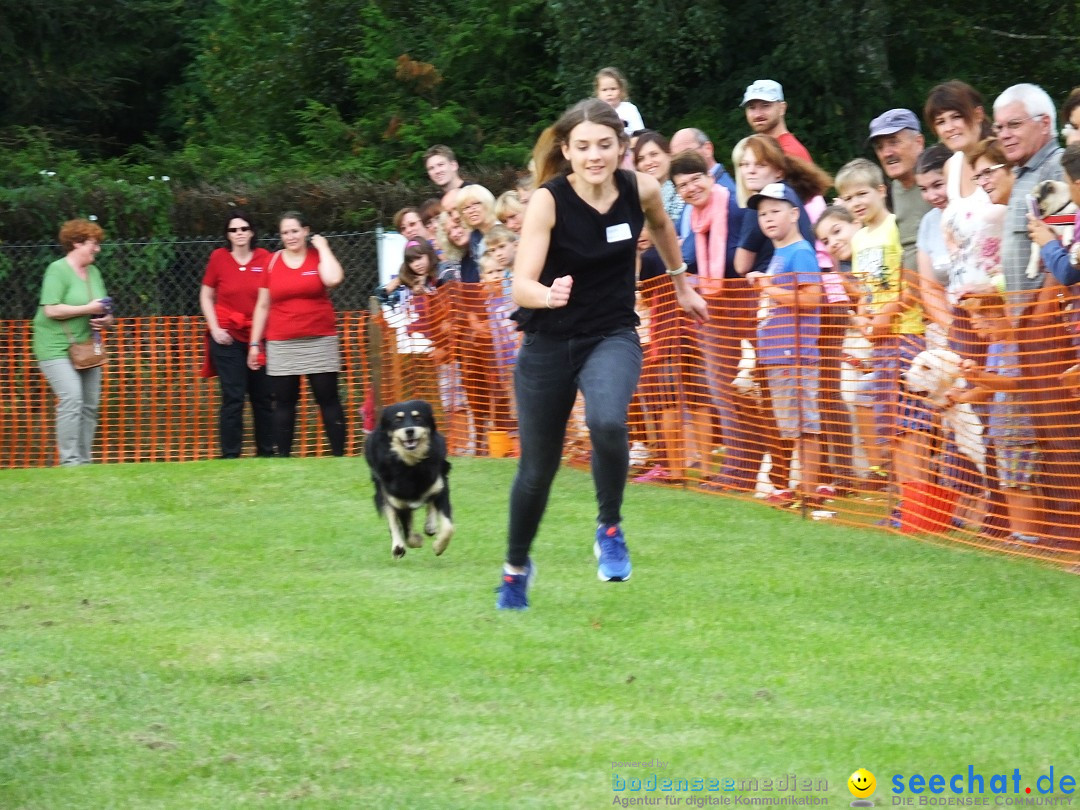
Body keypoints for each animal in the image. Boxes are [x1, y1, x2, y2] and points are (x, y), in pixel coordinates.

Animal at [365, 399, 453, 557]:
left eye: (418, 418)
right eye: (397, 420)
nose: (409, 431)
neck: (411, 466)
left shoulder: (441, 487)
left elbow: (448, 526)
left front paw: (439, 546)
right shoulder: (399, 502)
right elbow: (407, 532)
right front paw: (416, 540)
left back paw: (430, 525)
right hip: (382, 490)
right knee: (392, 518)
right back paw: (398, 546)